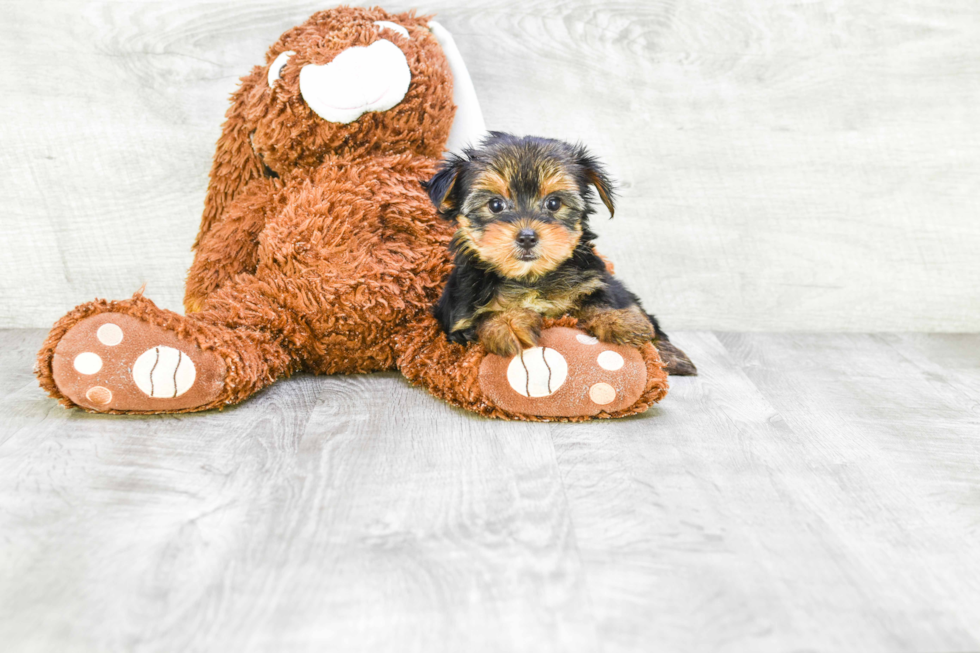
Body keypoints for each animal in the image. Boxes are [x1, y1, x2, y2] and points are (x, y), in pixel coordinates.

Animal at [424, 131, 692, 374]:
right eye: (495, 205)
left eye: (553, 203)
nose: (527, 237)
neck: (530, 278)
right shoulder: (458, 322)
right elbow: (483, 317)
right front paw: (507, 322)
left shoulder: (595, 279)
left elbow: (601, 299)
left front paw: (620, 321)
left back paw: (672, 356)